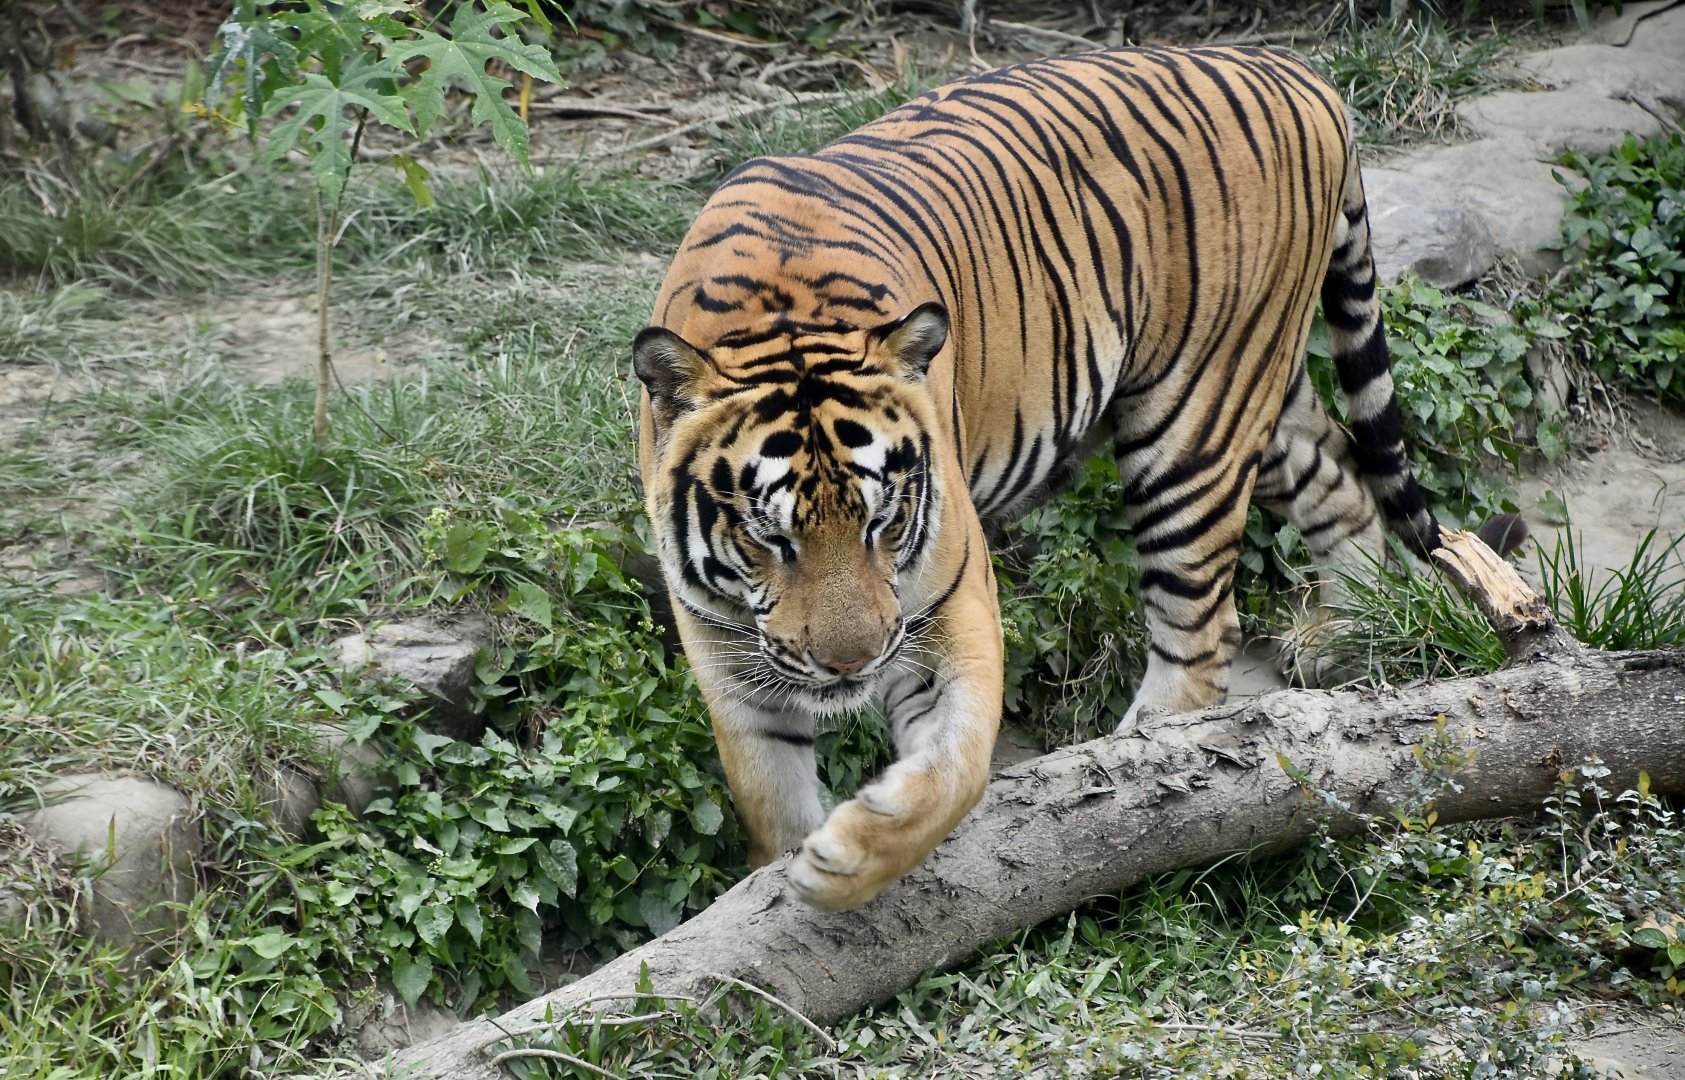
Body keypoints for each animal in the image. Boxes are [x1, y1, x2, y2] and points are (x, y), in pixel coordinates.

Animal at [632, 45, 1524, 912]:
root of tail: (1297, 74)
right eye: (769, 538)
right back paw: (1342, 631)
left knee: (1201, 633)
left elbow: (955, 769)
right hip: (1257, 399)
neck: (777, 312)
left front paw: (844, 862)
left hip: (1192, 419)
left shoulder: (945, 602)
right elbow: (765, 788)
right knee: (1337, 471)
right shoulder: (721, 643)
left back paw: (1129, 779)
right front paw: (777, 888)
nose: (851, 667)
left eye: (882, 523)